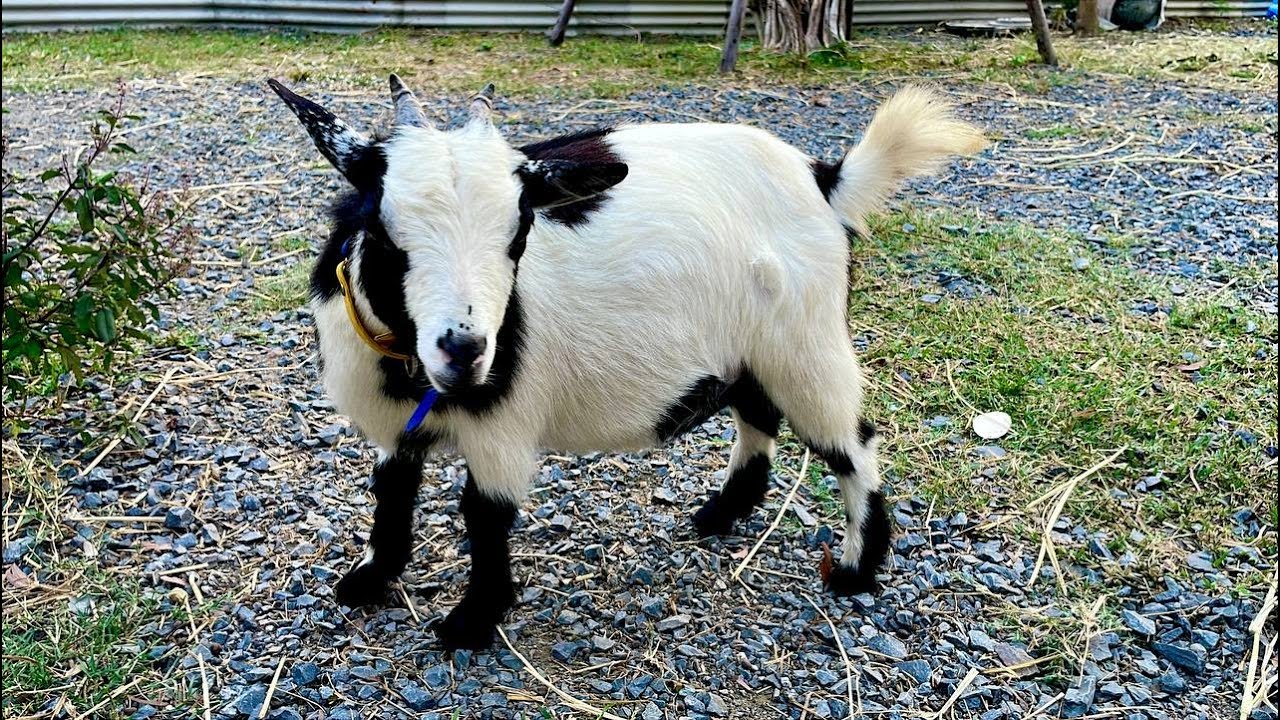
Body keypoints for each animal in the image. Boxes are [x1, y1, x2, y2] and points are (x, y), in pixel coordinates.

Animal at [268, 76, 984, 650]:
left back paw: (858, 569)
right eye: (383, 229)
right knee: (758, 415)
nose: (465, 349)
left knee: (850, 443)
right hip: (746, 349)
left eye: (519, 233)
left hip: (805, 343)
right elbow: (392, 488)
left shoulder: (503, 428)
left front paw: (472, 622)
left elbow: (484, 512)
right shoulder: (398, 428)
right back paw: (721, 514)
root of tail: (826, 177)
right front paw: (370, 578)